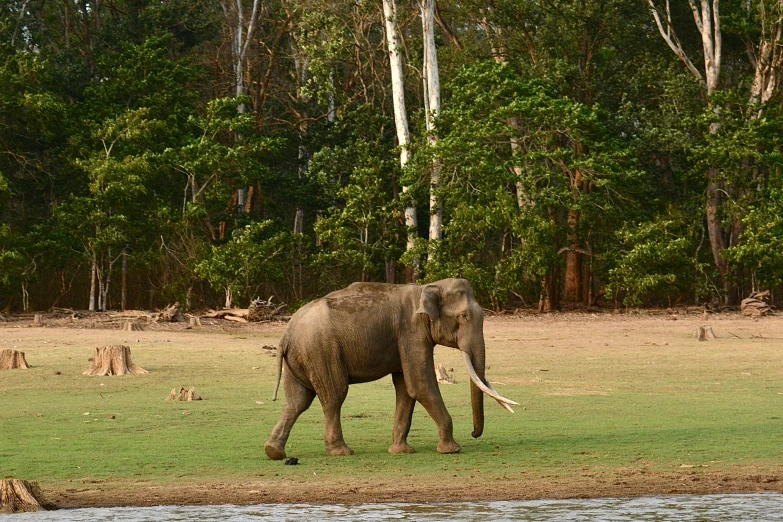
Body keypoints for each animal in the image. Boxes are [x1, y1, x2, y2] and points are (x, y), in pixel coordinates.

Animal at [266, 278, 516, 458]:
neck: (427, 287)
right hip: (321, 351)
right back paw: (342, 452)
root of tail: (286, 335)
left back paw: (274, 452)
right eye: (463, 316)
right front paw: (452, 449)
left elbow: (406, 388)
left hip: (302, 358)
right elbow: (420, 385)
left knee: (297, 401)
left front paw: (401, 451)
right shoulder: (411, 333)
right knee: (333, 397)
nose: (473, 434)